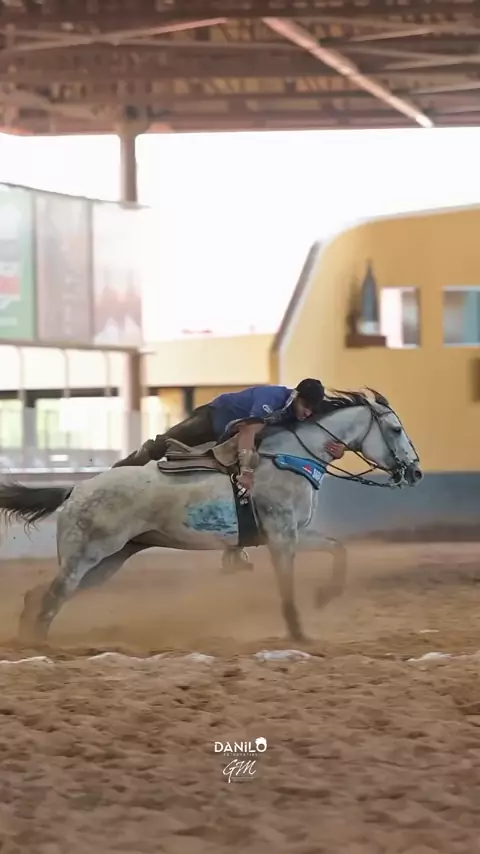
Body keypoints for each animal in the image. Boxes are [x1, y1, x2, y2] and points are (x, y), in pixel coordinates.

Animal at [0, 389, 422, 644]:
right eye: (395, 428)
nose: (415, 472)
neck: (291, 456)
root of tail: (75, 491)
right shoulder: (282, 536)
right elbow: (287, 587)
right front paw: (299, 632)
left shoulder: (295, 533)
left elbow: (339, 549)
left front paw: (324, 596)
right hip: (86, 557)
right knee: (52, 596)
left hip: (107, 561)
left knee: (41, 595)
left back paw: (28, 641)